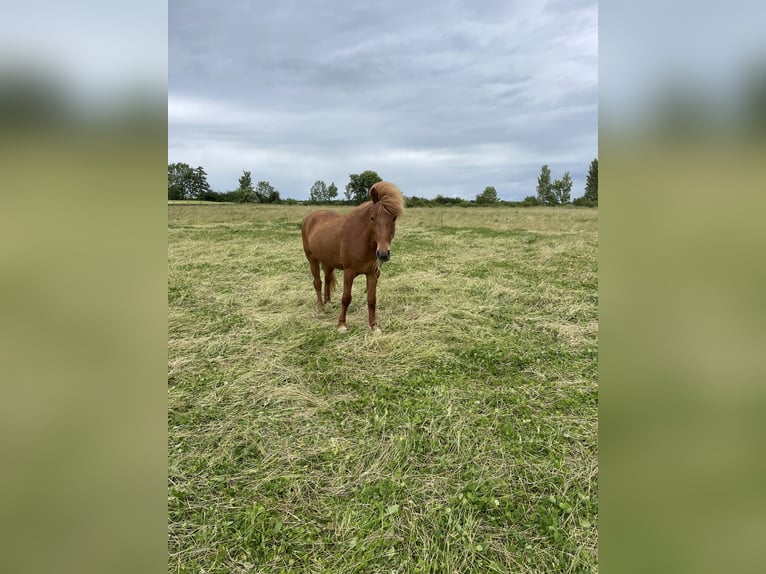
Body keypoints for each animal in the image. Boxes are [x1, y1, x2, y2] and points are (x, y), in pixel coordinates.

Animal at [301, 181, 405, 332]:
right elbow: (346, 298)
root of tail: (310, 218)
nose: (383, 254)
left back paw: (328, 303)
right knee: (318, 283)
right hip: (312, 259)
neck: (360, 239)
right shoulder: (349, 273)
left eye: (394, 218)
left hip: (328, 262)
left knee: (327, 280)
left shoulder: (372, 273)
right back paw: (321, 308)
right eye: (372, 217)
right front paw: (341, 325)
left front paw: (374, 326)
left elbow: (371, 299)